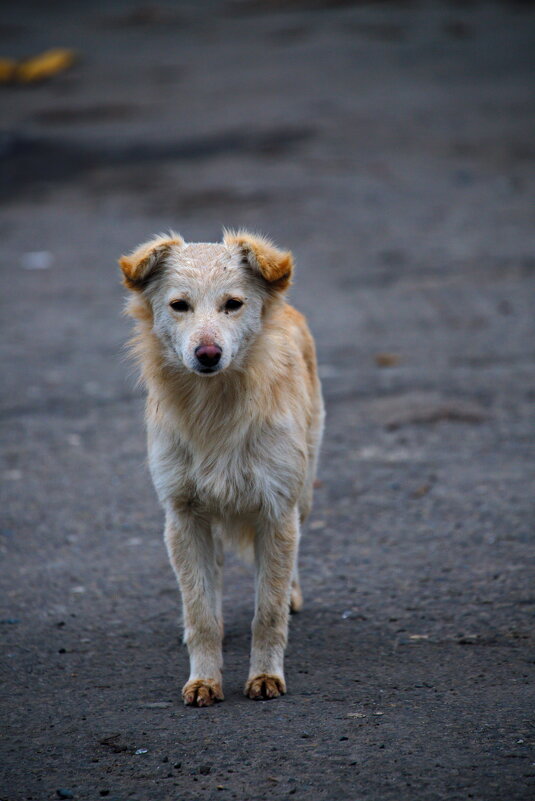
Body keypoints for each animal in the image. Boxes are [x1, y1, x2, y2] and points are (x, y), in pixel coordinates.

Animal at [119, 230, 324, 708]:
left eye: (233, 304)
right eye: (179, 305)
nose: (208, 354)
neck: (213, 408)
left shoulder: (277, 511)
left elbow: (267, 611)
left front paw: (265, 675)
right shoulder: (183, 515)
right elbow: (200, 611)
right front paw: (204, 680)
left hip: (304, 493)